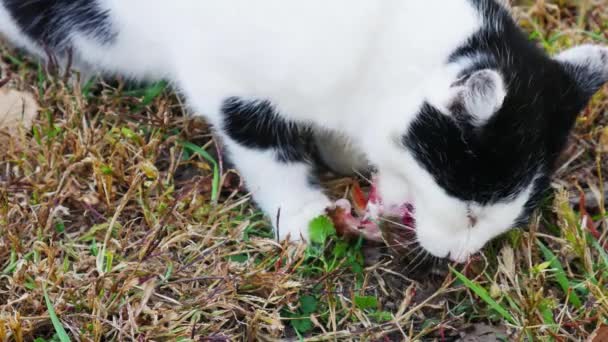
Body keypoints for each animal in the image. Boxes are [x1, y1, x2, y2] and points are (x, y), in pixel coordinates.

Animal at [1, 0, 608, 262]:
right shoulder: (233, 88)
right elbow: (269, 155)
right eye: (473, 212)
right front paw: (298, 216)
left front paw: (341, 153)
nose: (461, 258)